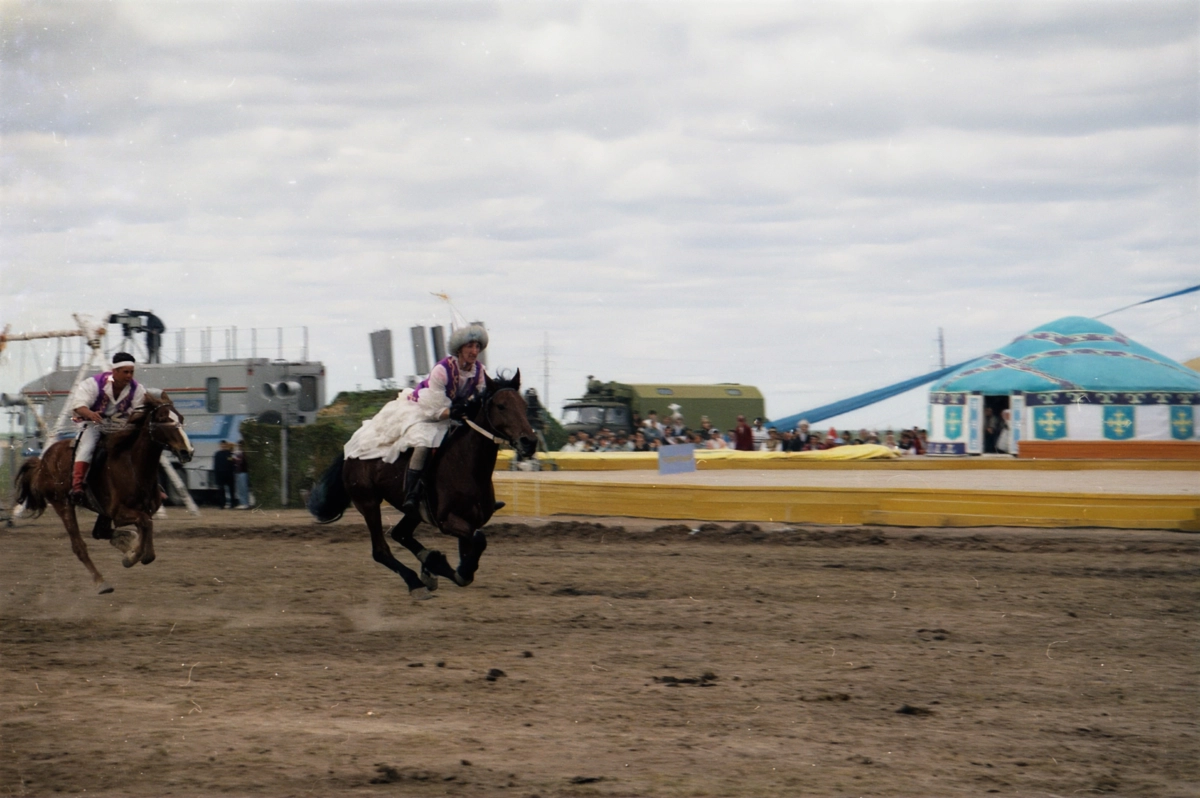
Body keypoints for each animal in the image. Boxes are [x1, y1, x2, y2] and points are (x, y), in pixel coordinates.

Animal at [13, 396, 196, 590]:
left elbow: (147, 530)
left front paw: (131, 549)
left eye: (180, 418)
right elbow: (145, 526)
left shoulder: (141, 510)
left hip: (100, 511)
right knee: (79, 545)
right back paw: (101, 581)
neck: (133, 467)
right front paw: (131, 556)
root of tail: (42, 463)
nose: (187, 451)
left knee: (99, 532)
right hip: (63, 504)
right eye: (163, 419)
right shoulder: (119, 513)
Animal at [307, 369, 537, 595]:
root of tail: (349, 451)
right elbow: (479, 540)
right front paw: (453, 569)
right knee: (380, 550)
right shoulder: (447, 521)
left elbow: (471, 549)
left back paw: (430, 565)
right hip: (368, 503)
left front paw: (445, 566)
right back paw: (414, 581)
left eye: (524, 405)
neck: (468, 467)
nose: (530, 442)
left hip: (413, 511)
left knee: (400, 534)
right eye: (501, 406)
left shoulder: (470, 519)